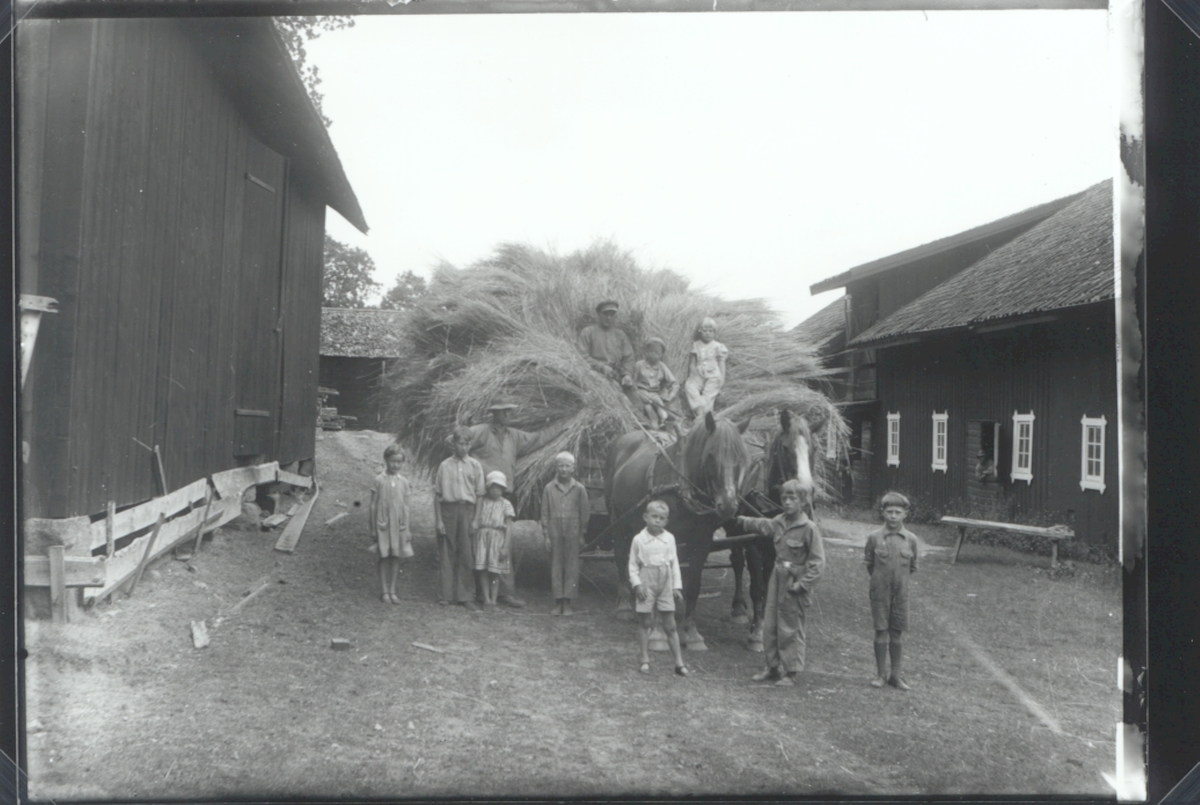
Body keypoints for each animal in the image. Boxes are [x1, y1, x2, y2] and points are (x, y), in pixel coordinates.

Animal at [604, 411, 753, 651]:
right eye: (711, 455)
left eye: (742, 458)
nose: (729, 505)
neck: (683, 485)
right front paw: (658, 634)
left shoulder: (701, 542)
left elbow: (692, 584)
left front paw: (691, 633)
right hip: (618, 522)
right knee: (620, 556)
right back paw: (625, 605)